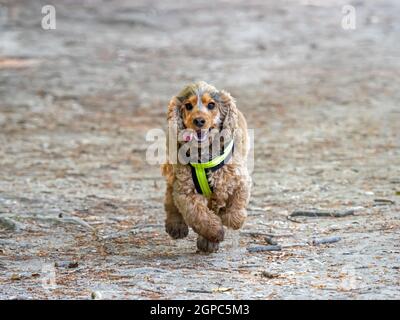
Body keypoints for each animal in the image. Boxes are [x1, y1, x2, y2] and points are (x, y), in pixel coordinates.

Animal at [162, 80, 250, 252]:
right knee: (170, 194)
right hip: (172, 172)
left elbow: (236, 206)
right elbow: (199, 215)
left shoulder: (239, 179)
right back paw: (176, 225)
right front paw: (214, 232)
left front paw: (231, 219)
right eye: (188, 106)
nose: (199, 121)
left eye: (211, 105)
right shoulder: (185, 190)